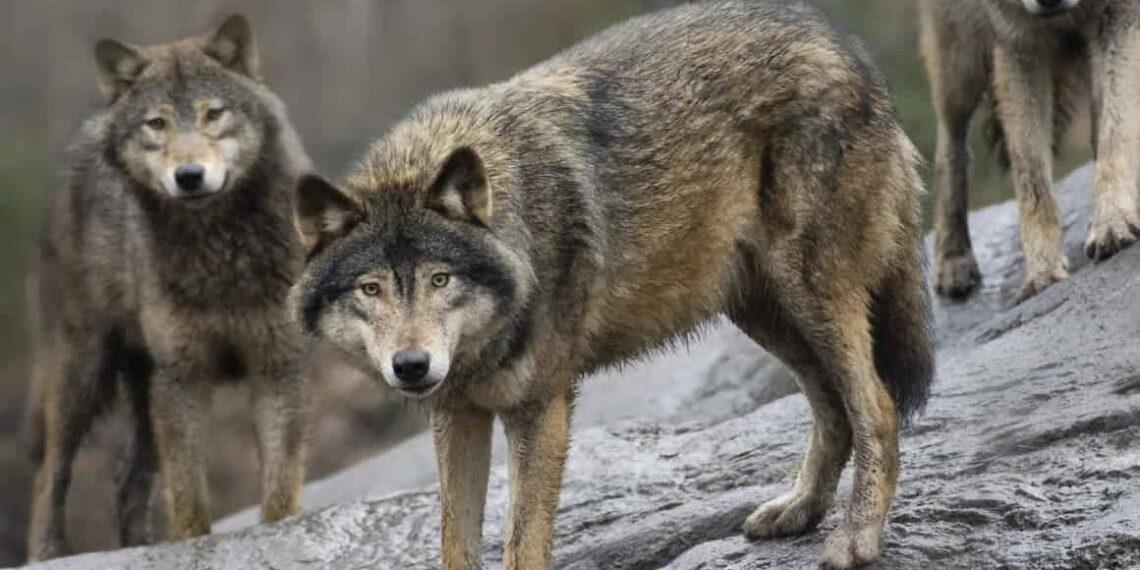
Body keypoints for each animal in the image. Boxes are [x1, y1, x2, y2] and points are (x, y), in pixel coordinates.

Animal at [25, 15, 312, 561]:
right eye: (156, 124)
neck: (219, 254)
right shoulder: (183, 379)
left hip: (141, 389)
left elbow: (279, 487)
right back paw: (47, 554)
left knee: (126, 477)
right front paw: (193, 545)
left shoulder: (278, 367)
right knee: (50, 474)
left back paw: (137, 546)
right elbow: (189, 496)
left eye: (212, 114)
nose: (190, 175)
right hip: (84, 372)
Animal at [293, 2, 933, 568]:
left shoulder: (541, 409)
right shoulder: (458, 414)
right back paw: (798, 511)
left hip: (811, 292)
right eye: (370, 289)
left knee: (876, 407)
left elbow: (522, 545)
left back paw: (856, 540)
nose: (411, 366)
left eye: (439, 278)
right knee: (832, 410)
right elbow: (456, 544)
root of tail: (848, 48)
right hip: (762, 312)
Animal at [922, 0, 1140, 300]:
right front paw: (1043, 271)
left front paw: (1111, 222)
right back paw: (953, 261)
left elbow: (1116, 132)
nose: (1050, 2)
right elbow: (1031, 176)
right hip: (960, 59)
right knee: (950, 146)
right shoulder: (1017, 43)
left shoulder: (1119, 15)